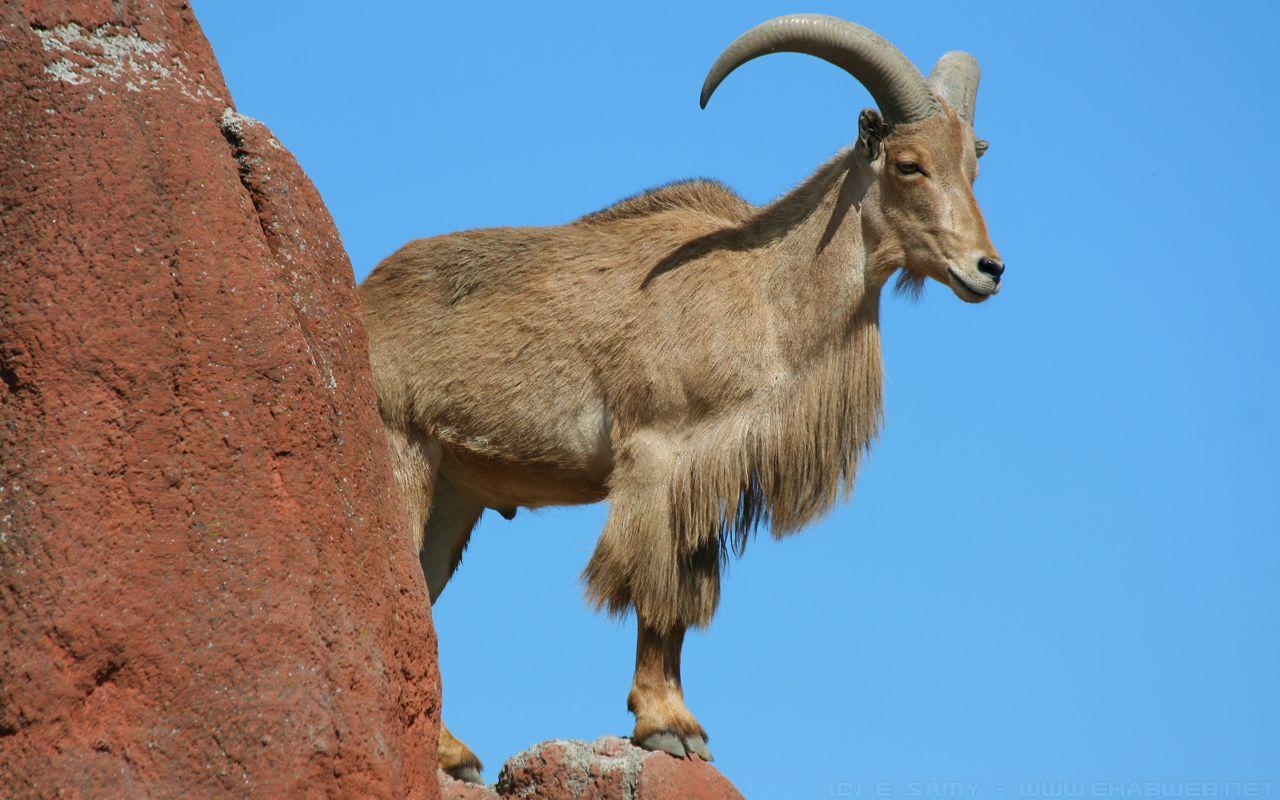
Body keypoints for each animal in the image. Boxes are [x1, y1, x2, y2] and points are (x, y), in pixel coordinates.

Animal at [359, 14, 1004, 781]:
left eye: (974, 167)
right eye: (909, 165)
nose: (988, 269)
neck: (763, 290)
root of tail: (358, 302)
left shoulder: (711, 477)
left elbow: (686, 595)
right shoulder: (660, 454)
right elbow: (655, 588)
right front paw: (667, 725)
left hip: (457, 492)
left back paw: (452, 751)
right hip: (403, 454)